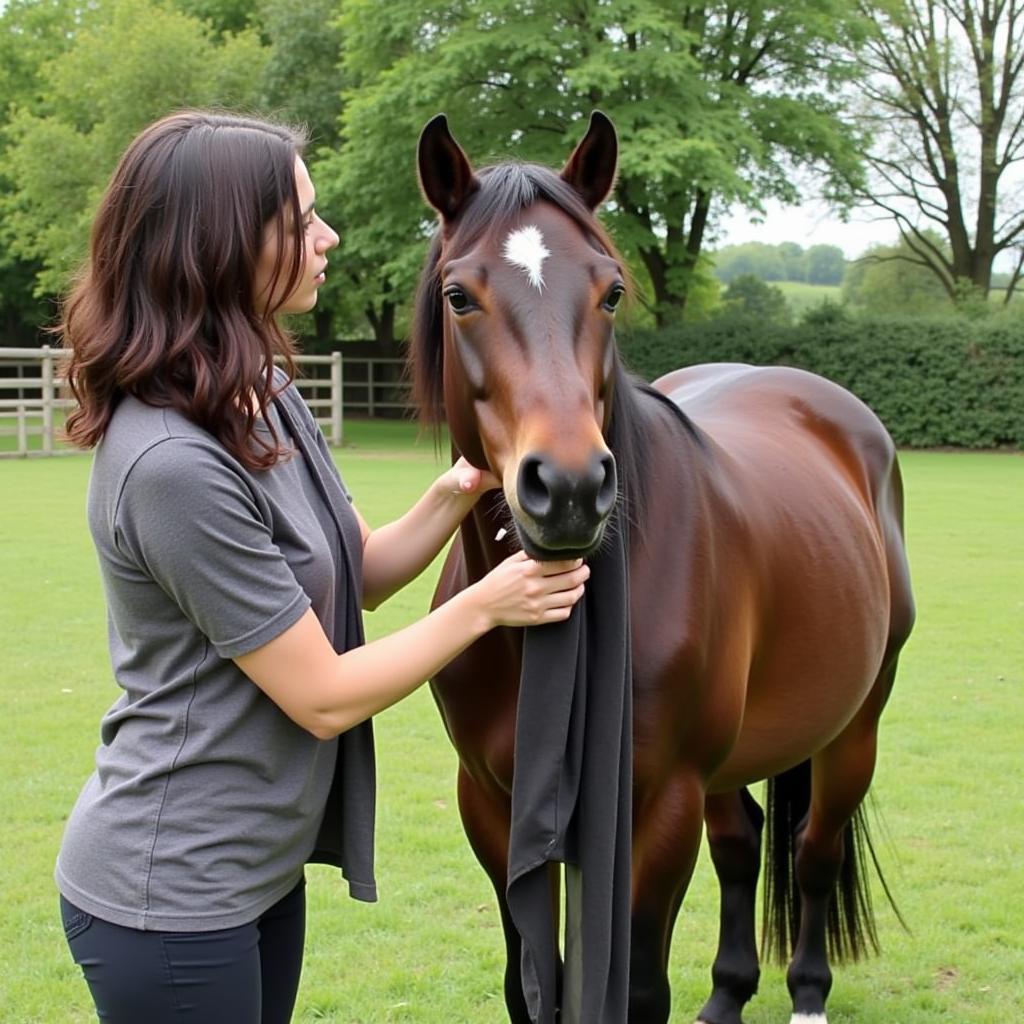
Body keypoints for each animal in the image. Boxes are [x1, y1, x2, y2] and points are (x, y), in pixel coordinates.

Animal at [407, 112, 913, 1024]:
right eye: (459, 296)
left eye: (610, 290)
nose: (570, 487)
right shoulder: (492, 807)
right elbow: (530, 985)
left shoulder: (657, 806)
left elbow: (636, 988)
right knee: (745, 844)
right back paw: (729, 993)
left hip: (855, 727)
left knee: (815, 850)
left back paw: (808, 993)